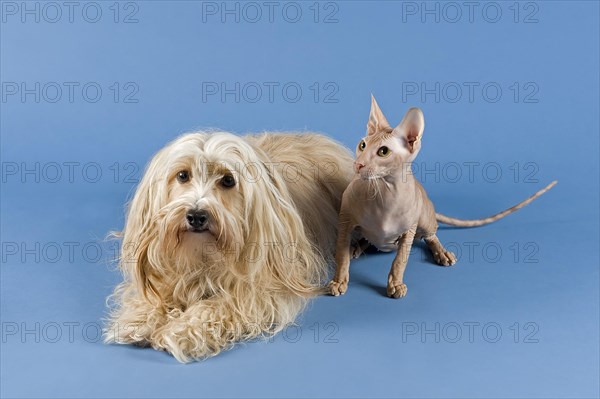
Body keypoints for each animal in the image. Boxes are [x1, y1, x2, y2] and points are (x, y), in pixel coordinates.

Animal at [103, 130, 354, 362]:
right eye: (183, 175)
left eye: (228, 180)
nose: (196, 216)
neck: (204, 255)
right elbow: (156, 296)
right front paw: (140, 318)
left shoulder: (263, 290)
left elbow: (217, 306)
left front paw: (181, 331)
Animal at [330, 95, 556, 298]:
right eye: (362, 145)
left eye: (383, 152)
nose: (358, 164)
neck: (382, 191)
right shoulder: (345, 220)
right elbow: (341, 254)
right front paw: (339, 280)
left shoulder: (409, 230)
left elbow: (400, 260)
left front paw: (395, 284)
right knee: (366, 240)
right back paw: (356, 247)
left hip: (424, 218)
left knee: (431, 235)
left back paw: (442, 252)